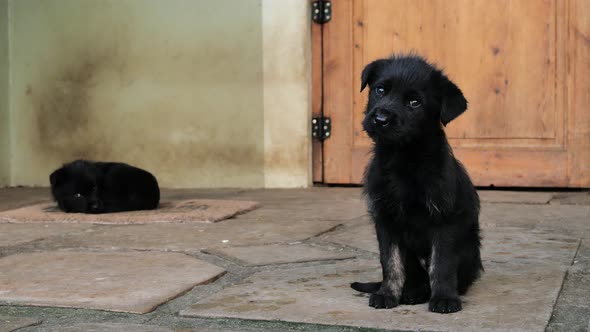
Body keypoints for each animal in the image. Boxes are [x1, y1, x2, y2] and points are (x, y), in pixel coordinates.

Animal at [352, 55, 486, 314]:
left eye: (415, 103)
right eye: (380, 90)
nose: (380, 119)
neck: (403, 157)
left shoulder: (445, 220)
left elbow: (441, 264)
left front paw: (444, 298)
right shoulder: (386, 220)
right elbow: (391, 263)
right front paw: (387, 294)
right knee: (414, 274)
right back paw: (412, 292)